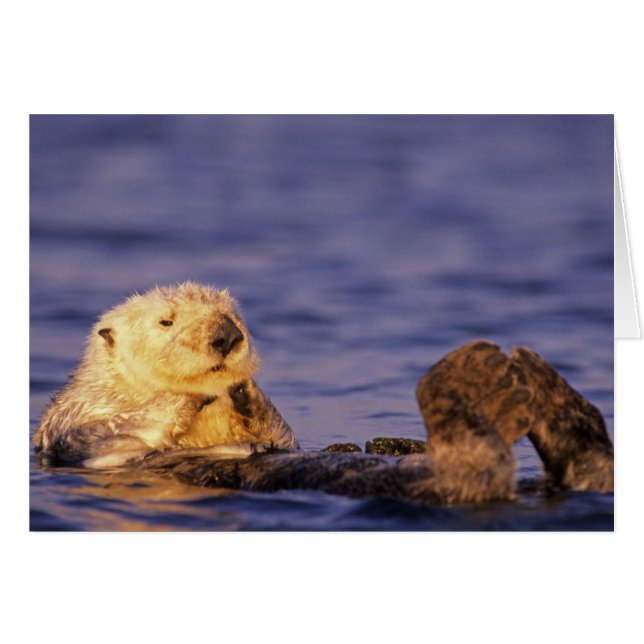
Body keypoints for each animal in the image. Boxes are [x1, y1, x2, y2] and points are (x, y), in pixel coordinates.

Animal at [34, 282, 297, 467]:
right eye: (166, 322)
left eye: (235, 315)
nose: (227, 334)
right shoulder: (79, 418)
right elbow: (110, 433)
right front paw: (192, 394)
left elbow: (285, 438)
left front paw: (245, 389)